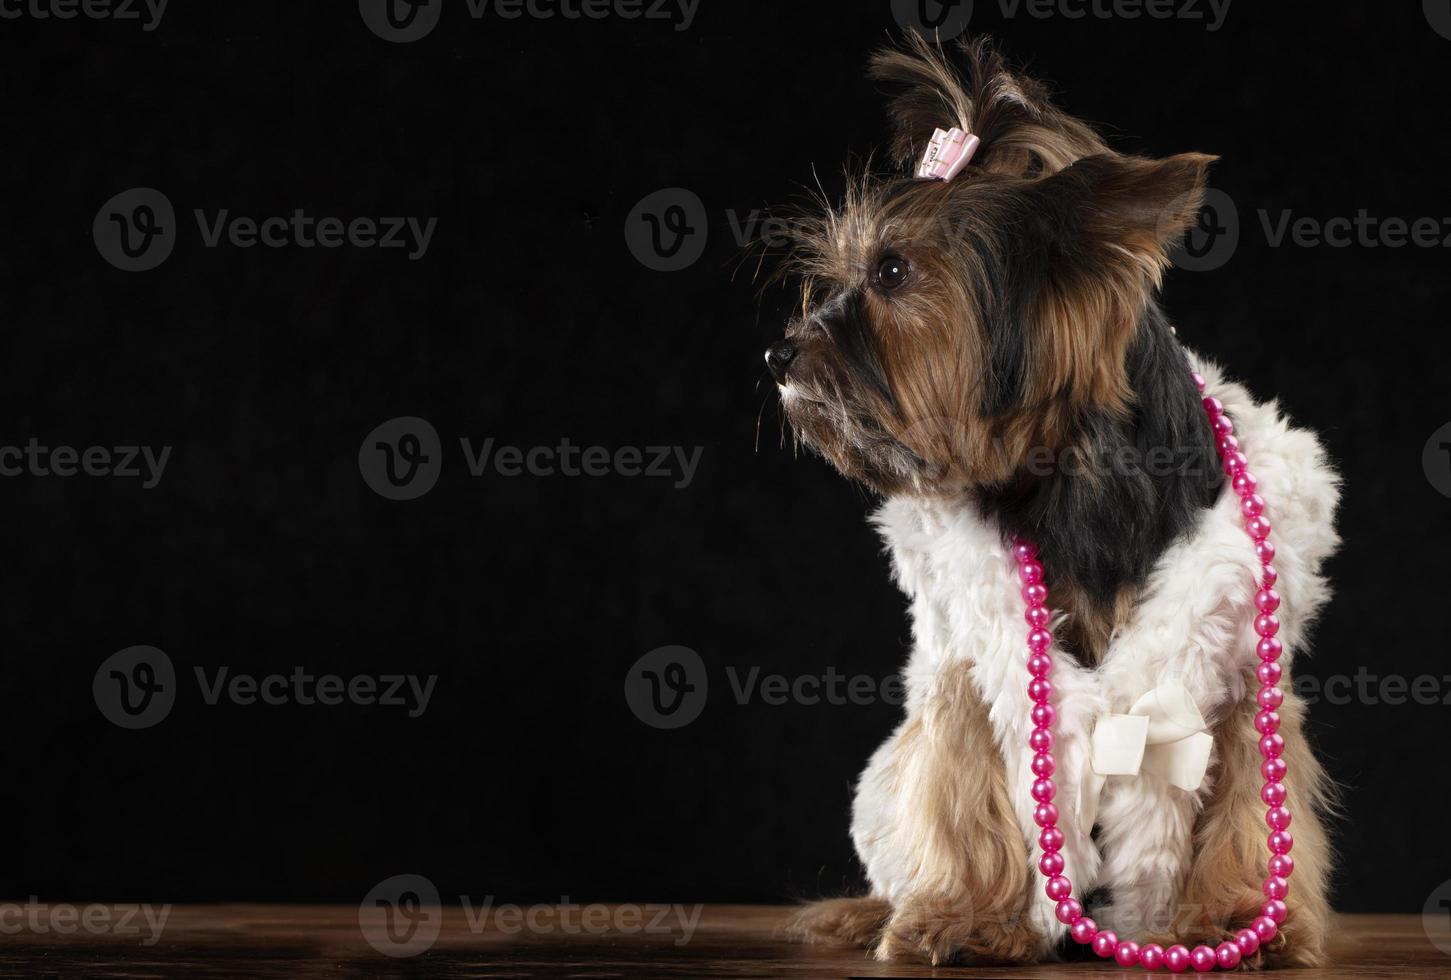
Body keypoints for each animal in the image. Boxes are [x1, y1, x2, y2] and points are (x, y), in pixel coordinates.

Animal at [771, 34, 1334, 969]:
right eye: (840, 275)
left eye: (891, 271)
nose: (779, 354)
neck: (1071, 478)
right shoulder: (975, 659)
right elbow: (971, 782)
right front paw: (968, 917)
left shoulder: (1234, 667)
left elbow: (1248, 798)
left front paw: (1232, 918)